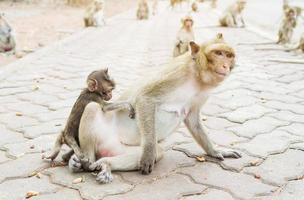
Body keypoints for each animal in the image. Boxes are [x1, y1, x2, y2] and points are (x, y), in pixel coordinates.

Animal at [68, 33, 240, 184]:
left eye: (228, 55)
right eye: (218, 53)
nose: (226, 65)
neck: (197, 77)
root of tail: (105, 148)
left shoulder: (202, 94)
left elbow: (193, 120)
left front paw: (215, 151)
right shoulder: (175, 75)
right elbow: (145, 98)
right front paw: (149, 154)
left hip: (122, 148)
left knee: (156, 152)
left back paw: (105, 164)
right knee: (92, 107)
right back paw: (84, 163)